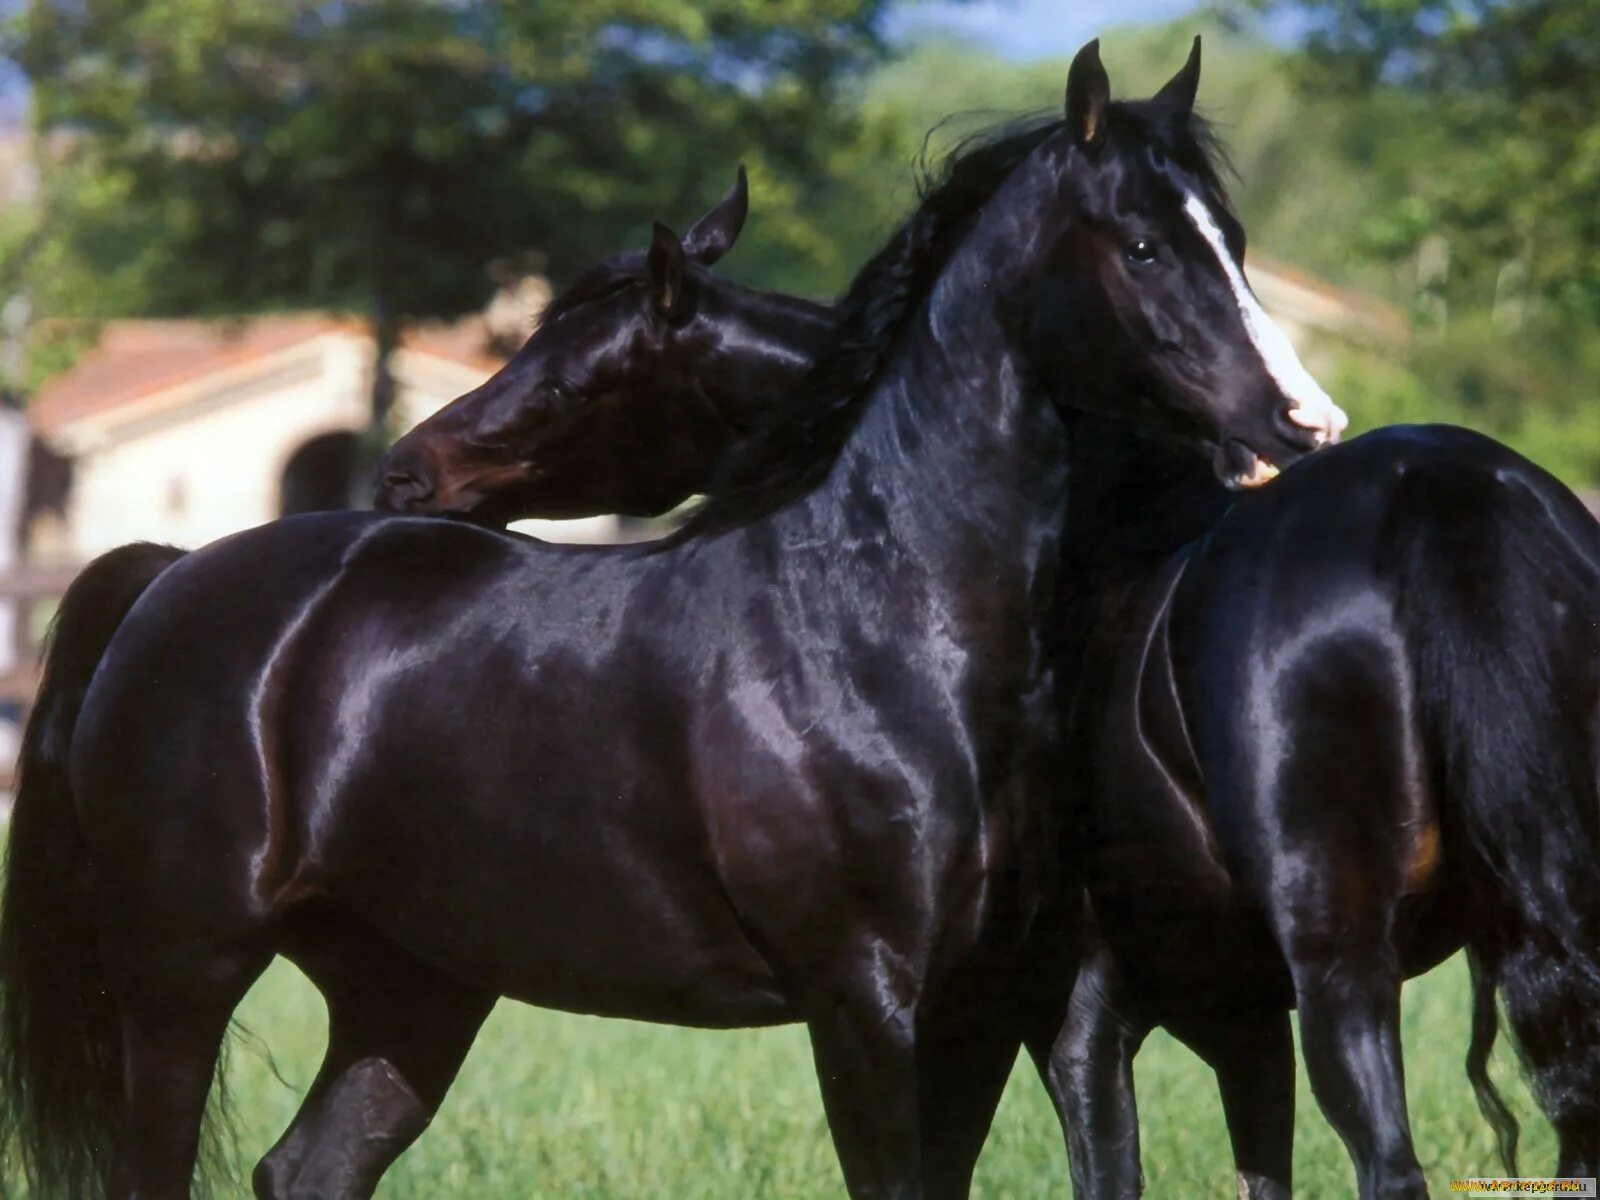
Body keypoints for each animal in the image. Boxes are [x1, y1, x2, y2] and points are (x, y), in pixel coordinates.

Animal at [0, 44, 1324, 1200]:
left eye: (1232, 242)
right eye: (1143, 247)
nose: (1298, 419)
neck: (885, 628)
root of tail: (174, 578)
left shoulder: (997, 1007)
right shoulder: (866, 1006)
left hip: (413, 987)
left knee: (308, 1170)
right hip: (180, 981)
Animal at [380, 47, 1593, 1200]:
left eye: (568, 383)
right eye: (1155, 246)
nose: (406, 471)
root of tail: (1445, 491)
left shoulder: (1070, 1014)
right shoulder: (1233, 1018)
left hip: (1341, 965)